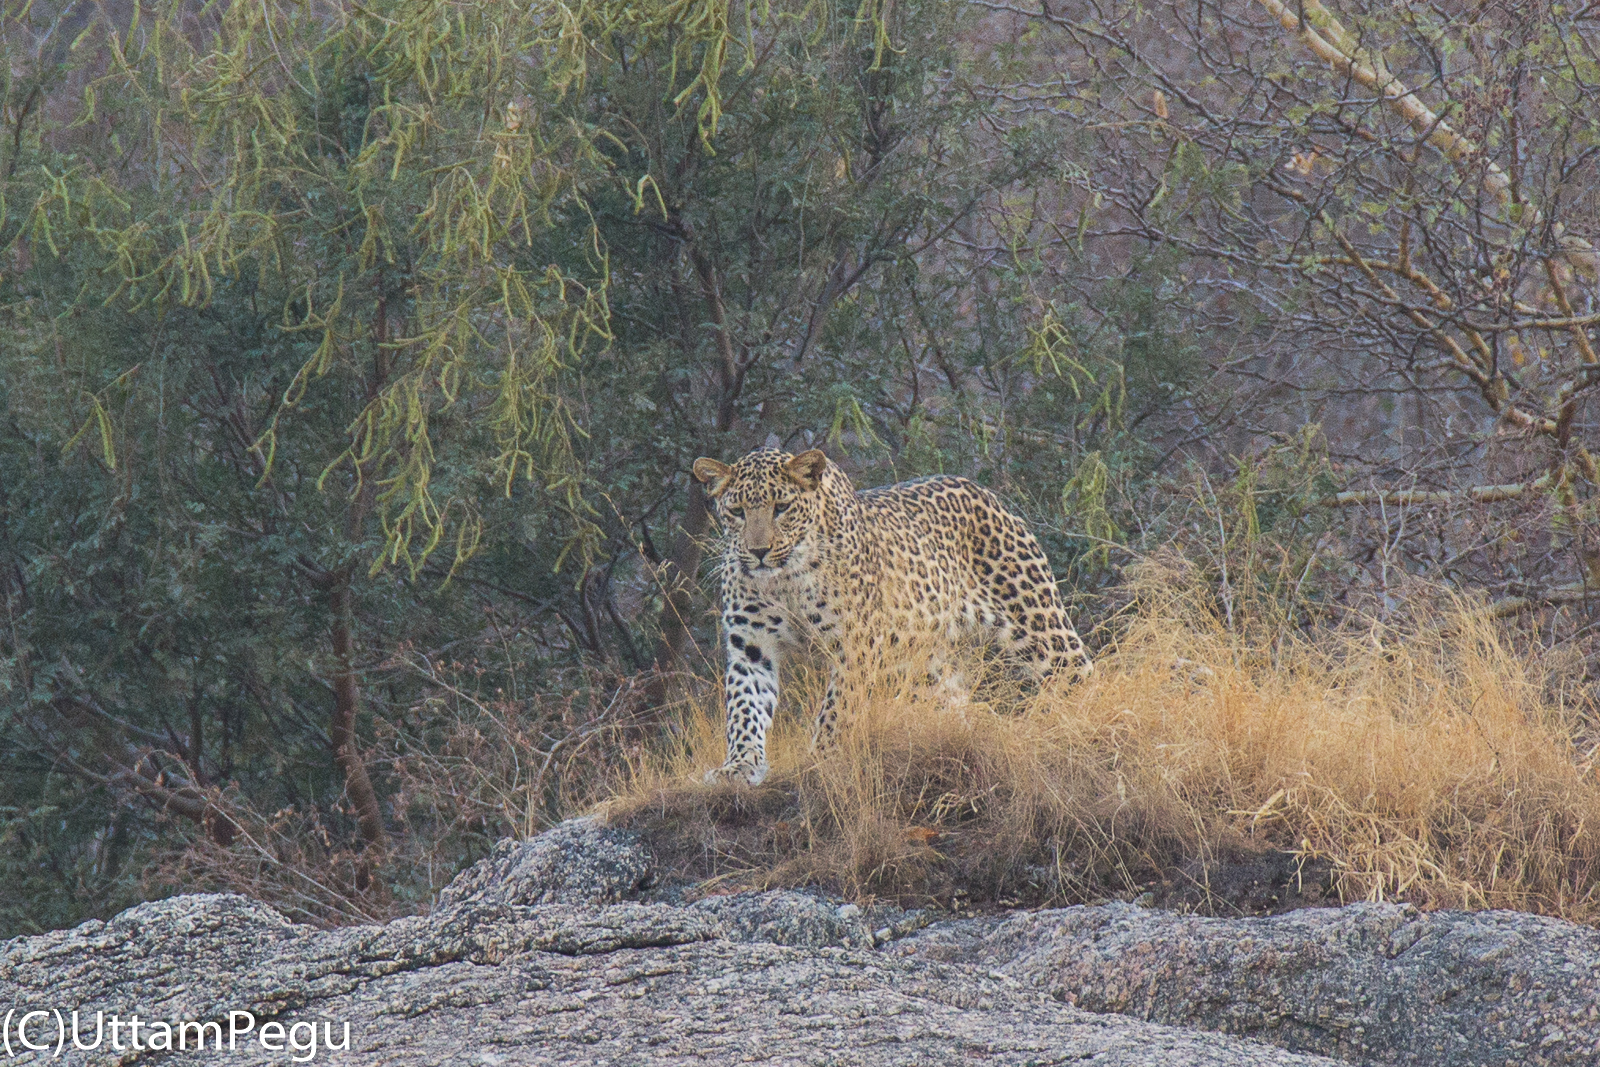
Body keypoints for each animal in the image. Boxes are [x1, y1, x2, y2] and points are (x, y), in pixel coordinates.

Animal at [694, 441, 1094, 783]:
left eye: (782, 507)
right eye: (736, 512)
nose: (758, 552)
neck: (784, 581)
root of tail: (985, 491)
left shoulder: (854, 646)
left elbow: (836, 709)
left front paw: (823, 758)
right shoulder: (751, 646)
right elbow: (744, 708)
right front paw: (739, 766)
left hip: (1038, 624)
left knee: (1078, 673)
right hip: (928, 666)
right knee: (954, 701)